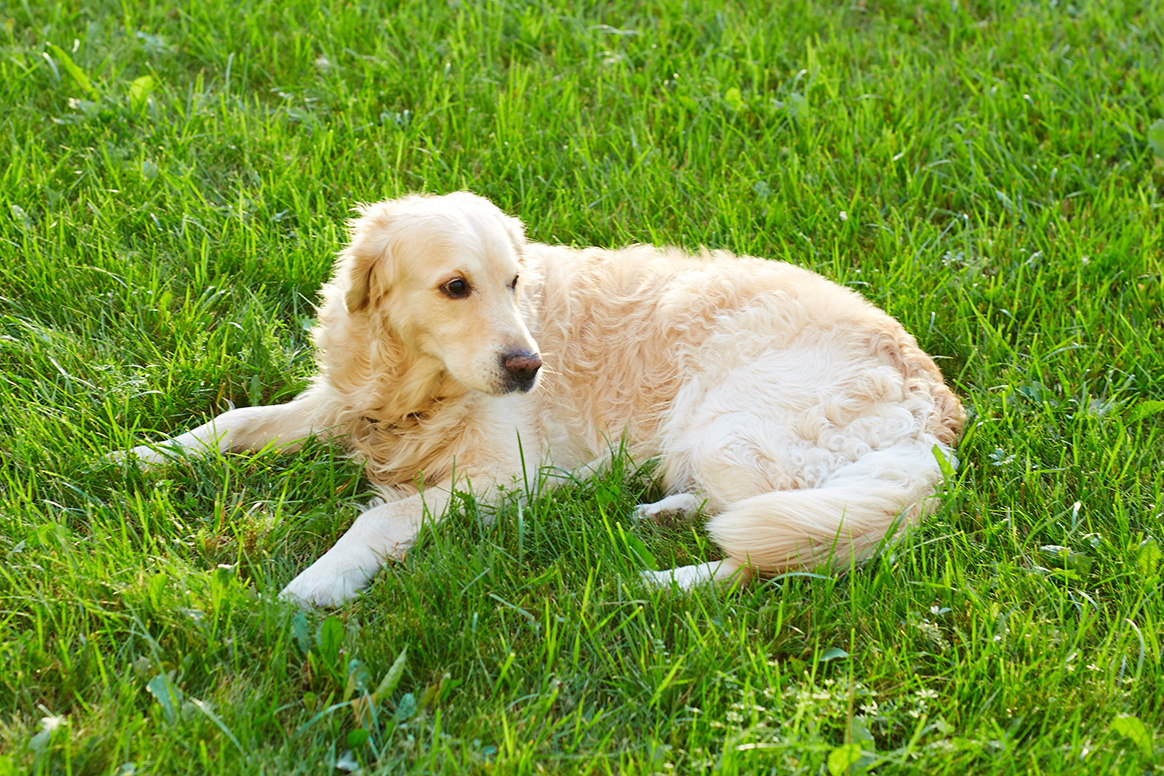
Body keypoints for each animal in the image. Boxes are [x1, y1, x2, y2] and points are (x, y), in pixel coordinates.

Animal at [113, 190, 963, 604]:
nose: (528, 367)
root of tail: (938, 409)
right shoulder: (344, 401)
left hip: (728, 423)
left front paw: (319, 582)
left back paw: (658, 585)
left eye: (515, 281)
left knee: (777, 554)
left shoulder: (501, 477)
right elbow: (236, 420)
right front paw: (144, 456)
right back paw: (663, 513)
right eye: (456, 286)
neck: (419, 384)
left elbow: (383, 516)